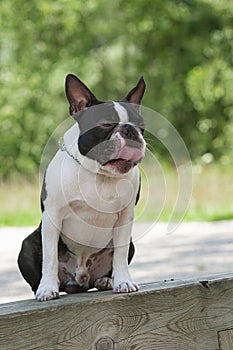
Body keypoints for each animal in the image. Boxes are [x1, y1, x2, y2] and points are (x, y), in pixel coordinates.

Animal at [18, 74, 146, 300]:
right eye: (106, 124)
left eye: (141, 126)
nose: (130, 130)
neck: (100, 175)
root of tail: (80, 279)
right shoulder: (52, 215)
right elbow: (50, 257)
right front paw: (47, 288)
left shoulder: (125, 217)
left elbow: (120, 254)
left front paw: (123, 281)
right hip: (27, 245)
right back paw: (48, 286)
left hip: (130, 243)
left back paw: (106, 281)